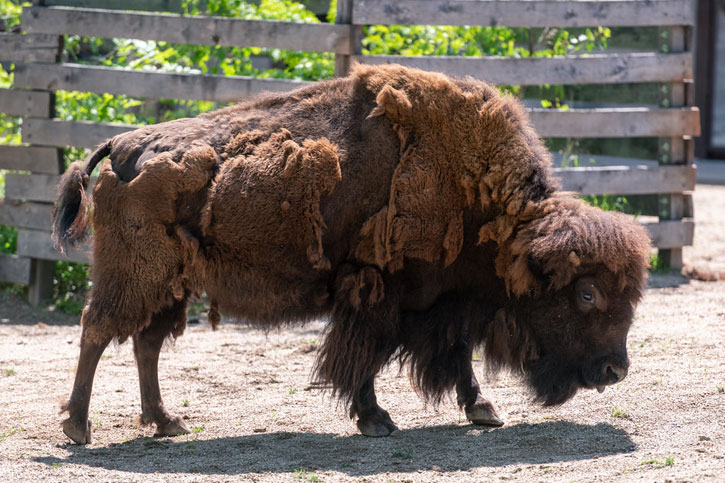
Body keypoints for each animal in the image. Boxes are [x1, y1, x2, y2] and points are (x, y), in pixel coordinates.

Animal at [52, 64, 652, 446]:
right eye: (587, 293)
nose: (615, 369)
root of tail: (122, 146)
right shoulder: (378, 293)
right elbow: (365, 355)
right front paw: (376, 420)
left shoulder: (444, 303)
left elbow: (456, 354)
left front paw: (483, 410)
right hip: (134, 276)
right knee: (98, 331)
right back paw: (79, 428)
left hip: (172, 284)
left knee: (146, 343)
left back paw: (165, 422)